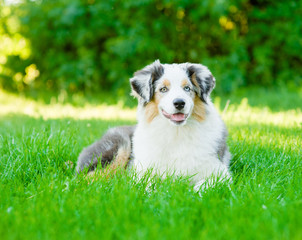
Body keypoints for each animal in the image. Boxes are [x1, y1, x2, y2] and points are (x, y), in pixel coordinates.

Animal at [76, 60, 231, 189]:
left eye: (187, 88)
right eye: (163, 89)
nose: (179, 103)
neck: (176, 132)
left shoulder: (219, 171)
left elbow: (203, 186)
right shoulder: (142, 170)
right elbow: (147, 185)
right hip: (119, 146)